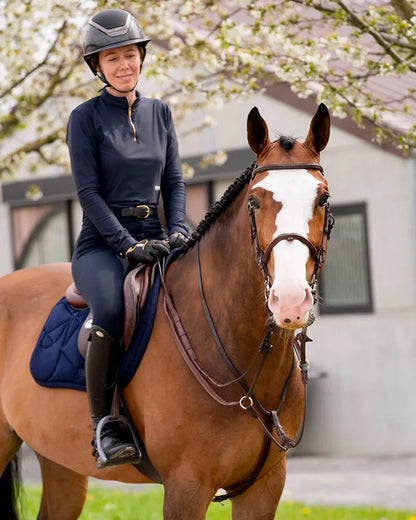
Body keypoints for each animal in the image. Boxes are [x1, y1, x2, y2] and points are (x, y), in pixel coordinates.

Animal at [0, 103, 332, 516]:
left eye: (323, 199)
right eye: (255, 202)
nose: (289, 300)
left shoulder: (265, 487)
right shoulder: (185, 487)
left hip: (59, 461)